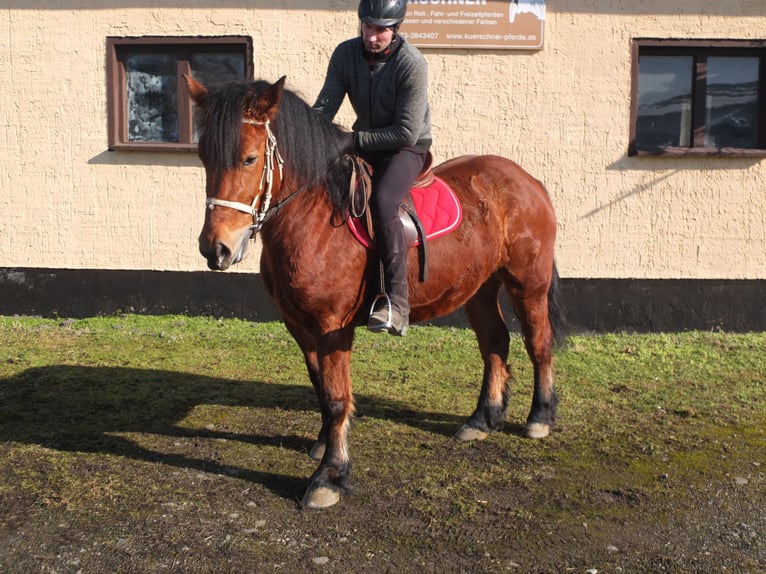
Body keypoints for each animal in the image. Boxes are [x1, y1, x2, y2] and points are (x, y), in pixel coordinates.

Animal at [186, 75, 564, 508]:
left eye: (249, 159)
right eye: (203, 156)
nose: (216, 248)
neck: (313, 218)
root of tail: (526, 179)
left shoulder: (332, 326)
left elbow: (336, 397)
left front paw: (330, 477)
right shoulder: (299, 325)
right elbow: (322, 389)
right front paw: (324, 445)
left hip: (528, 283)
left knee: (539, 342)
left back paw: (540, 418)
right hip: (480, 288)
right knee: (495, 343)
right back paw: (482, 419)